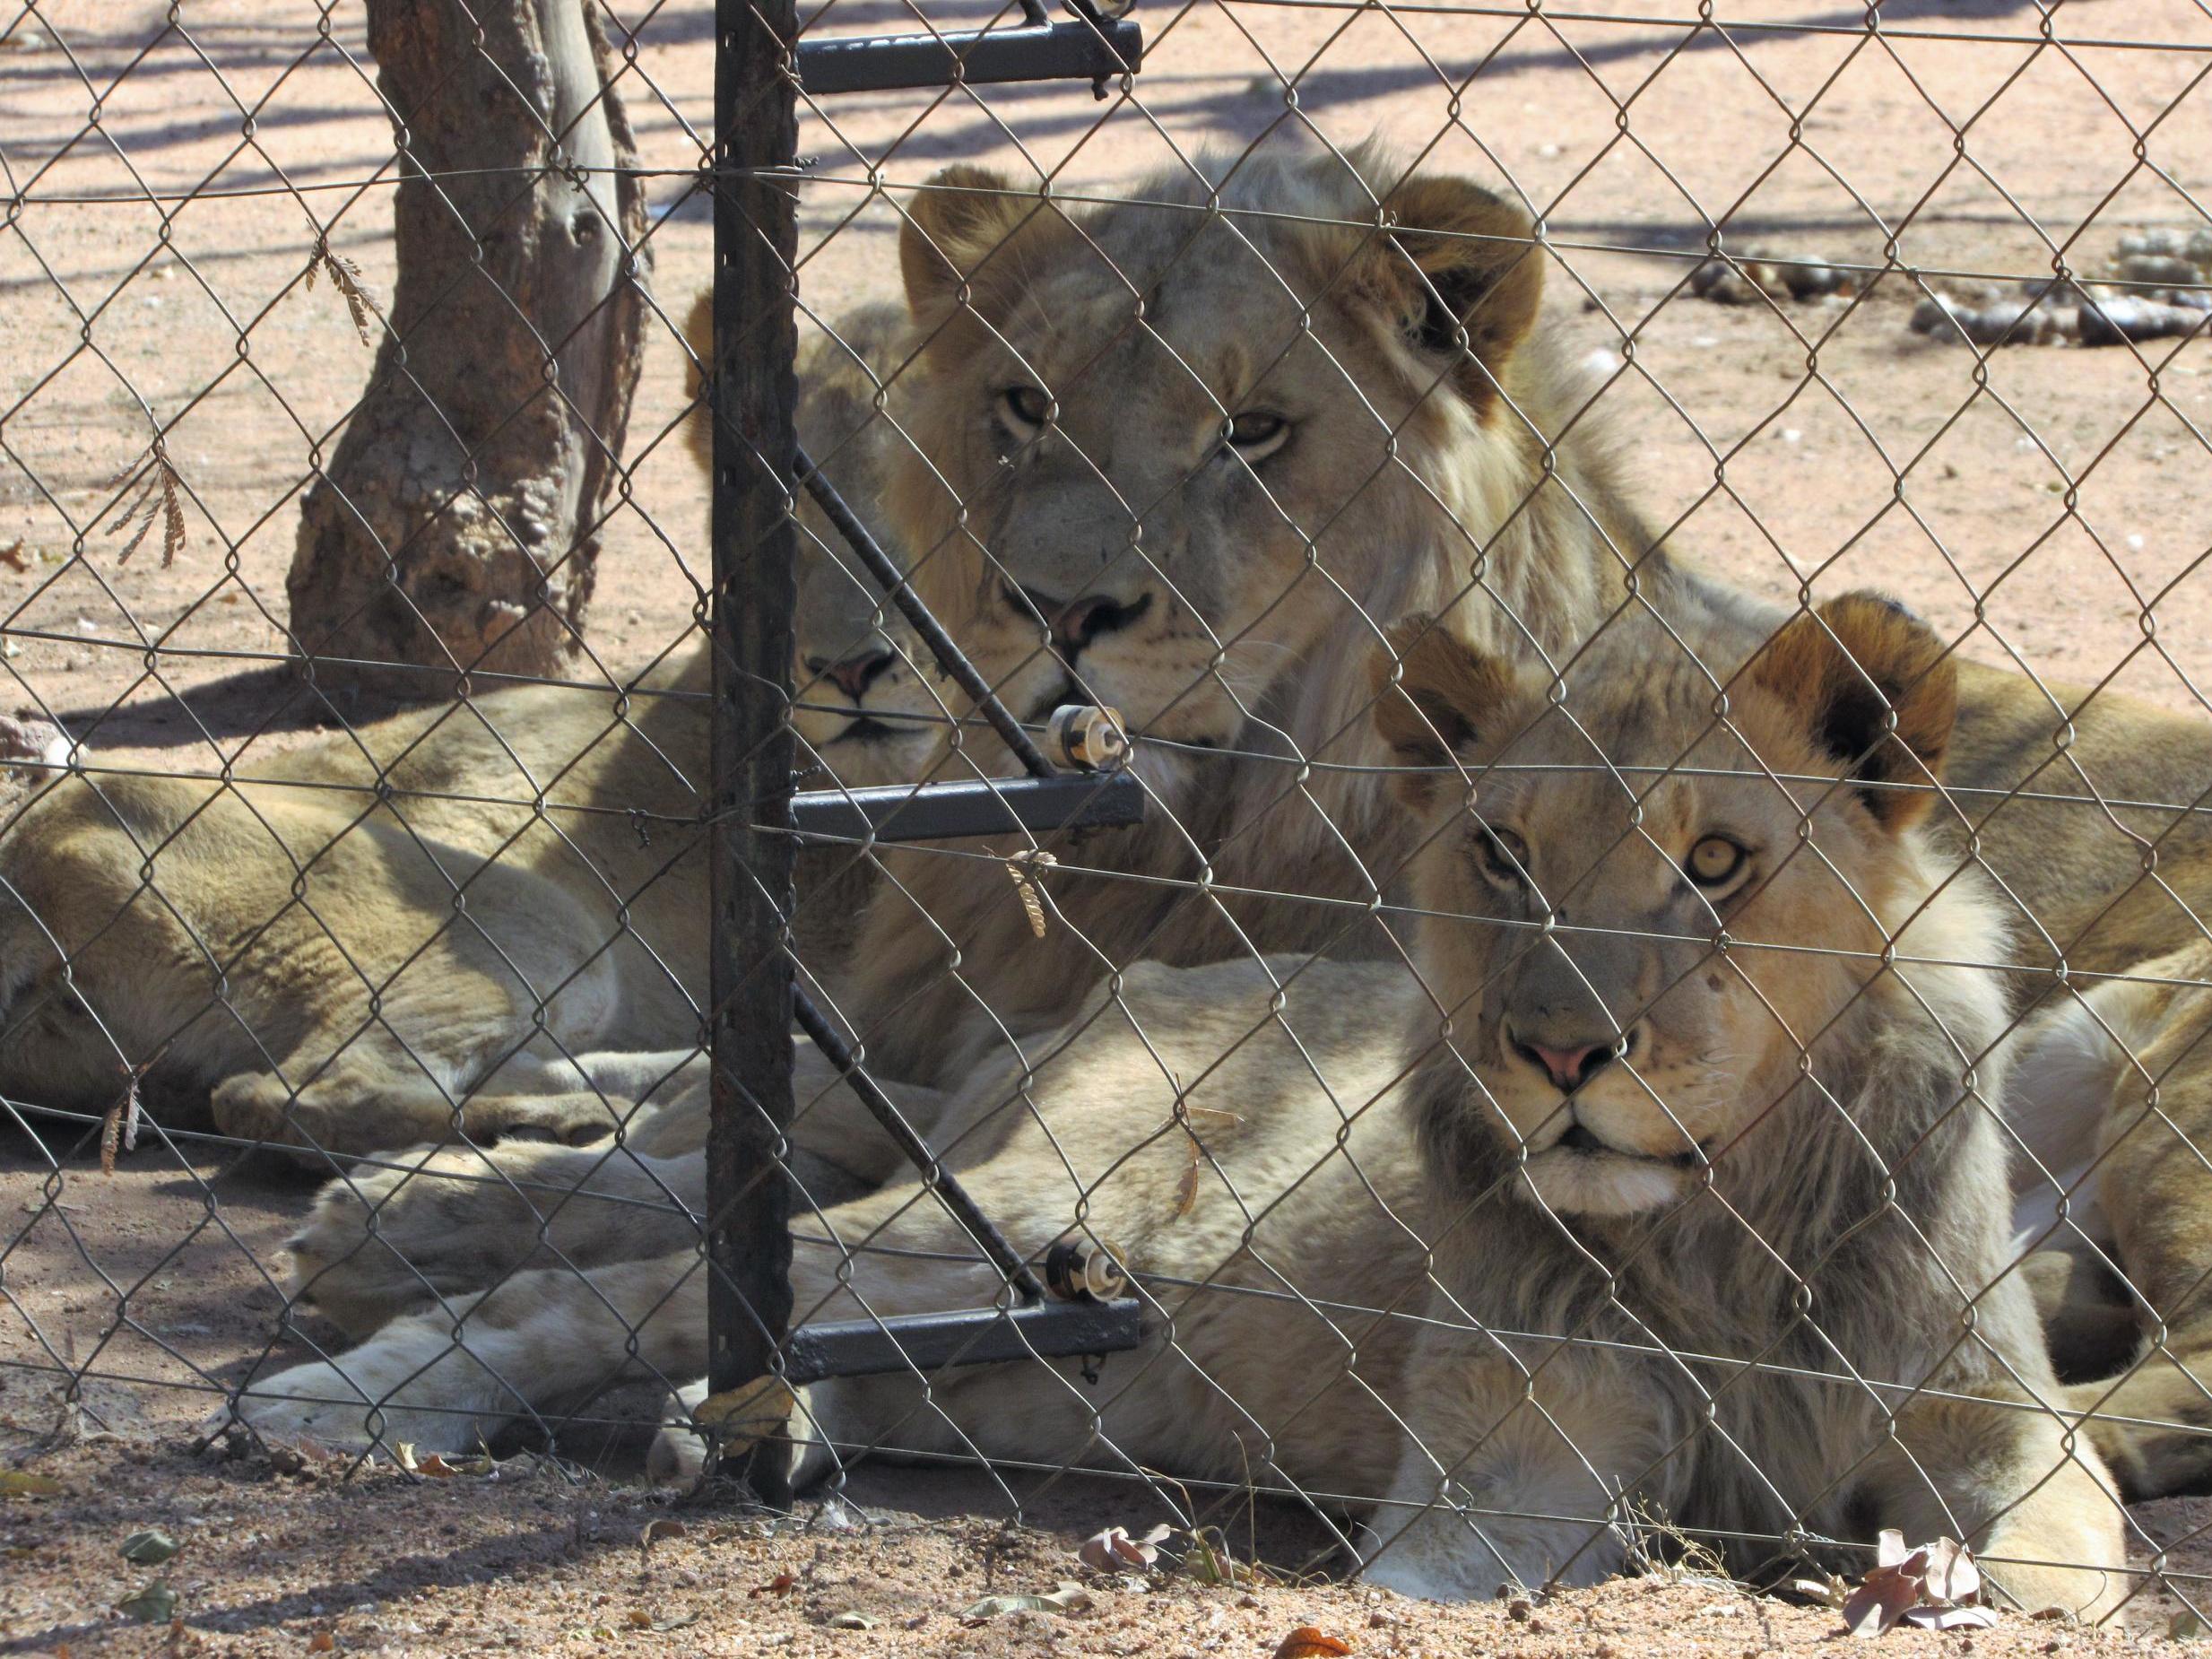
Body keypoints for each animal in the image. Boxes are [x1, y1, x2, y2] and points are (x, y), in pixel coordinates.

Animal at [224, 593, 2123, 1628]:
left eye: (1716, 863)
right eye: (1502, 854)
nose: (1560, 1052)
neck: (1722, 1234)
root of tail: (1123, 991)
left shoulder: (2008, 1438)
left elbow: (2062, 1572)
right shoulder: (1508, 1466)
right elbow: (1446, 1584)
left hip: (1060, 1351)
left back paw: (704, 1409)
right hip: (1030, 1230)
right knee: (606, 1285)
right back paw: (346, 1385)